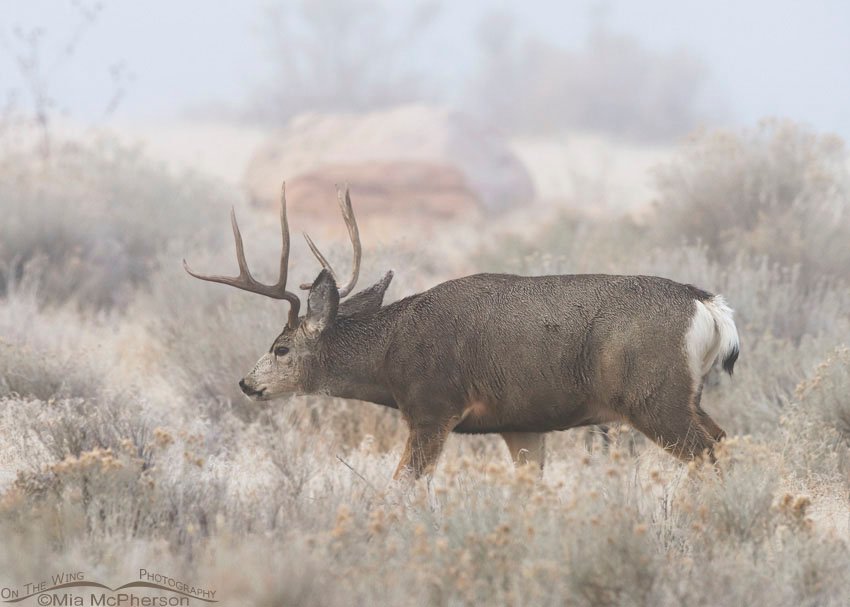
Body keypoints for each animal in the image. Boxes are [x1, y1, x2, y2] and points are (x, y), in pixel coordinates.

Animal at [184, 183, 740, 479]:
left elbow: (403, 488)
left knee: (708, 456)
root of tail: (707, 305)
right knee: (727, 443)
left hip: (654, 398)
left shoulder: (433, 407)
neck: (392, 354)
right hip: (686, 396)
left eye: (280, 348)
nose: (246, 384)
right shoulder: (521, 422)